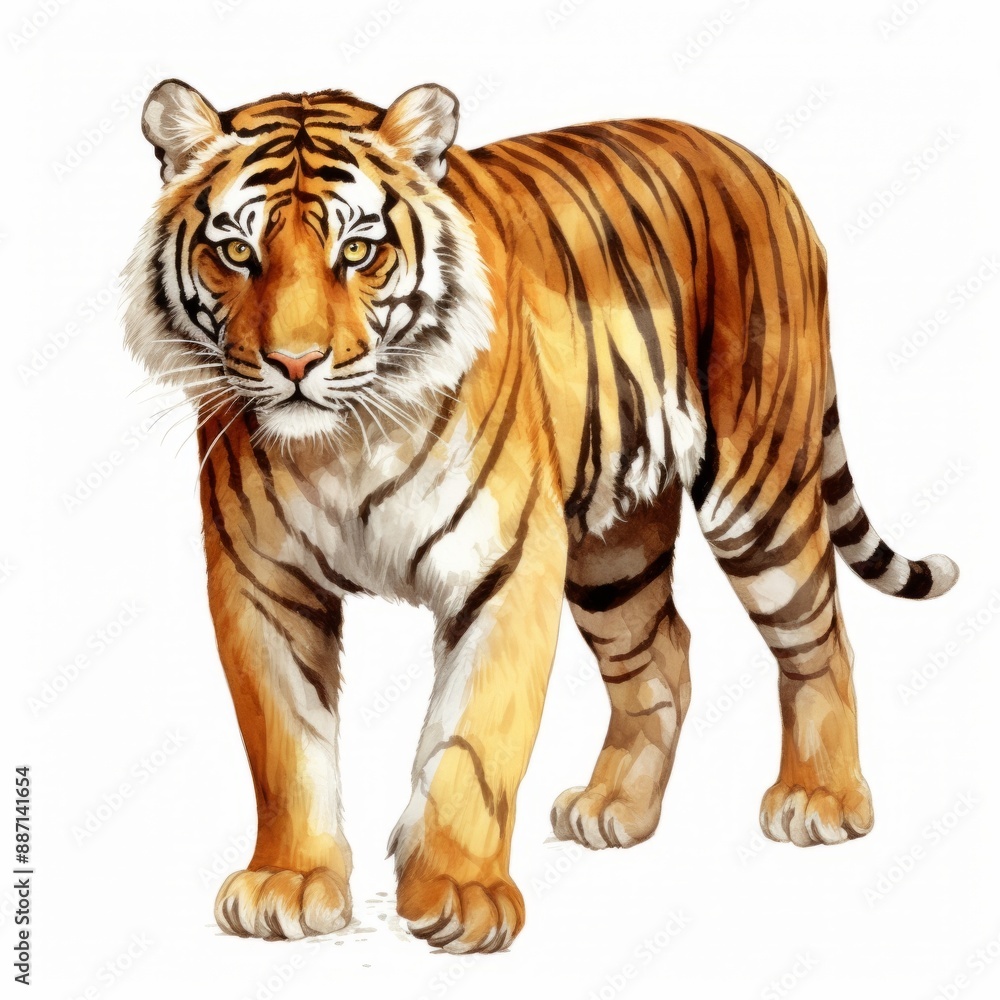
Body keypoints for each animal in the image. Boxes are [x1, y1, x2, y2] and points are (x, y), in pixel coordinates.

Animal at [123, 79, 959, 953]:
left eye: (357, 251)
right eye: (236, 253)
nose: (294, 364)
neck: (343, 444)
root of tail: (757, 165)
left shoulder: (506, 561)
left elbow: (475, 737)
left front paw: (460, 894)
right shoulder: (261, 579)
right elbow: (286, 747)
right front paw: (288, 883)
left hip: (757, 493)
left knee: (818, 637)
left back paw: (823, 800)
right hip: (613, 548)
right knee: (661, 651)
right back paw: (615, 807)